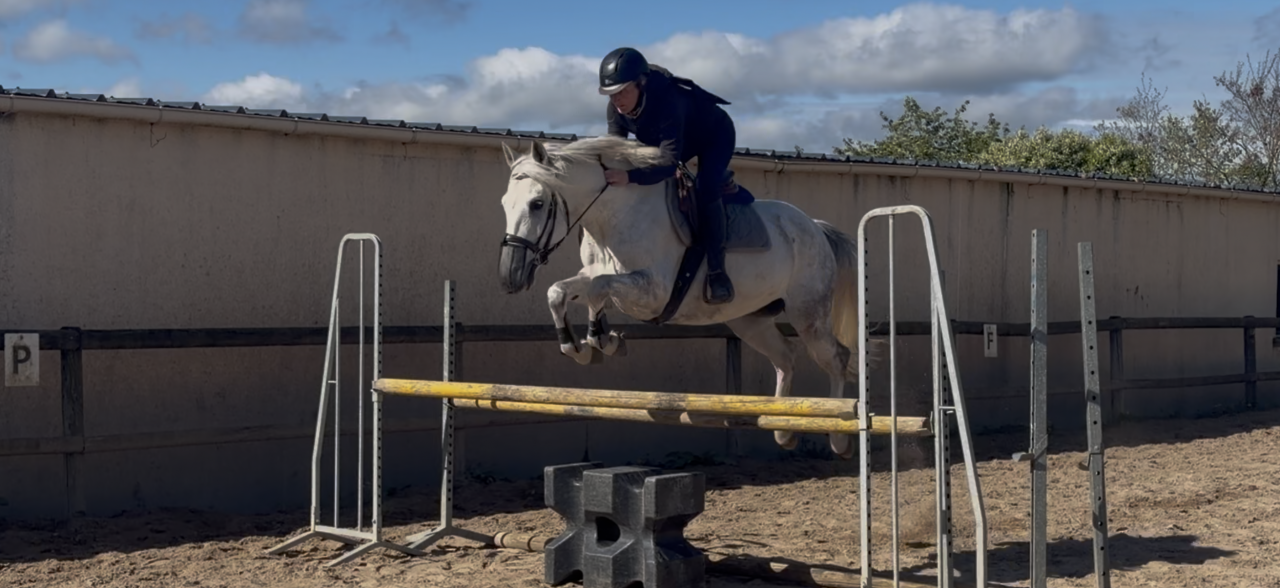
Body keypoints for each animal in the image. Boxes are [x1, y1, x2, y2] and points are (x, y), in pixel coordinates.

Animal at [495, 135, 878, 458]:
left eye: (537, 203)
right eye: (504, 204)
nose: (509, 277)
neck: (614, 216)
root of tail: (815, 227)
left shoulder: (651, 291)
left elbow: (600, 288)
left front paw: (600, 340)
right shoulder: (594, 275)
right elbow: (561, 291)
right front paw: (580, 347)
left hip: (808, 313)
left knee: (836, 357)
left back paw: (839, 438)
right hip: (748, 321)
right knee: (785, 358)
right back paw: (783, 429)